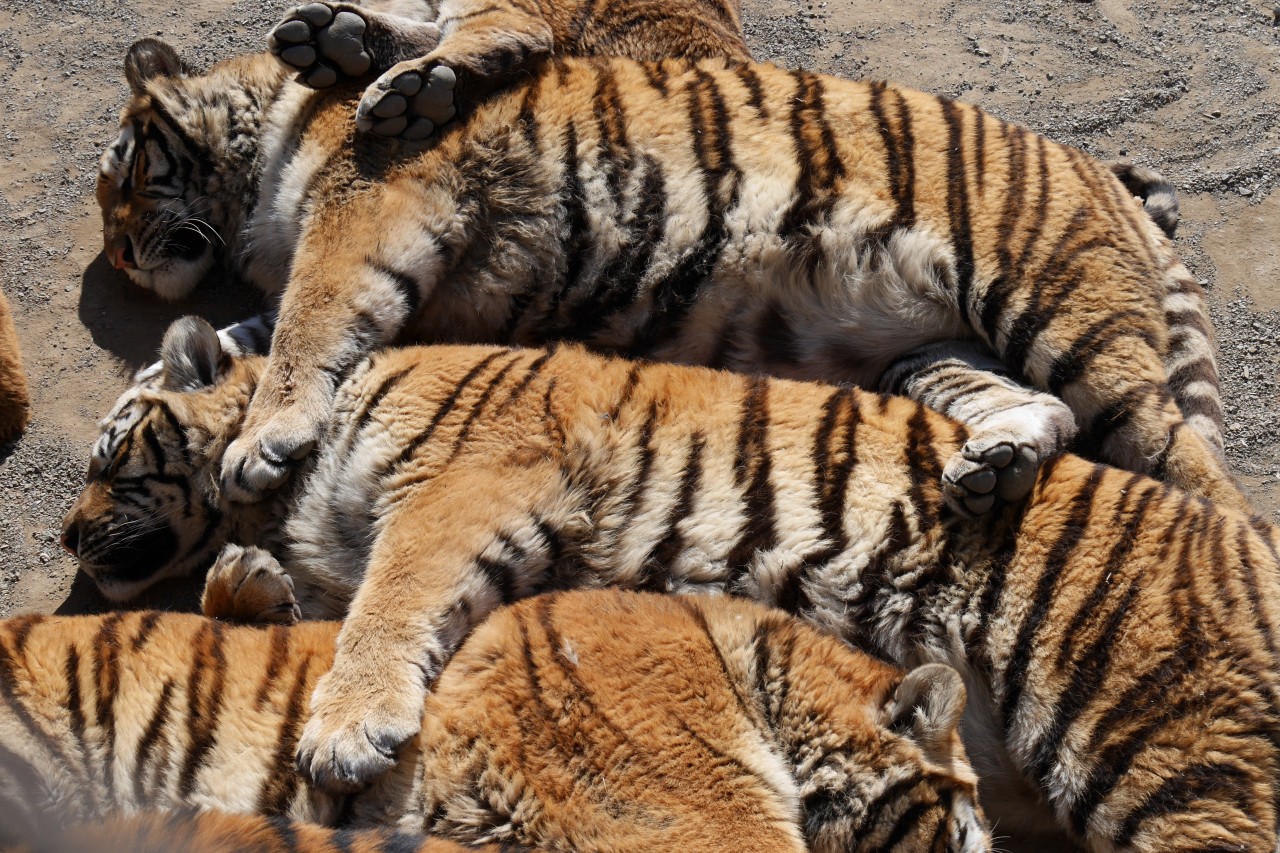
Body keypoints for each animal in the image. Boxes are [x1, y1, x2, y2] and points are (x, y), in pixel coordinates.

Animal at [95, 38, 1243, 517]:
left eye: (120, 176)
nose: (125, 261)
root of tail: (1107, 180)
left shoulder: (367, 205)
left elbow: (305, 326)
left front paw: (260, 441)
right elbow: (264, 335)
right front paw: (165, 386)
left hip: (1058, 307)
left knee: (1197, 474)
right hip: (931, 351)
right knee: (1038, 406)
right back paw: (996, 467)